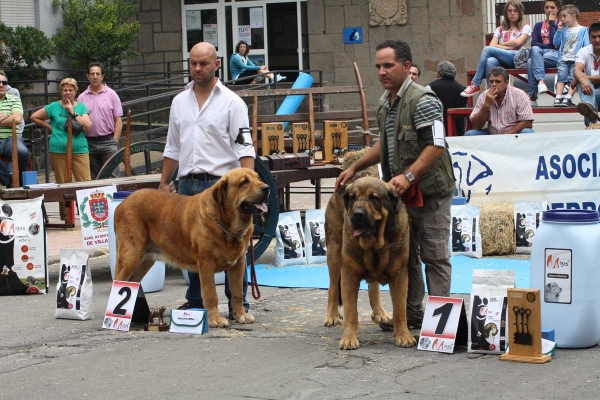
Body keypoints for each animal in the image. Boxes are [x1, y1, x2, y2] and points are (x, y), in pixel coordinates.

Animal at [113, 169, 268, 328]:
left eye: (258, 178)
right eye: (244, 182)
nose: (267, 188)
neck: (228, 227)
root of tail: (122, 204)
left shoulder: (238, 264)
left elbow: (237, 293)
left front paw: (241, 315)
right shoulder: (206, 264)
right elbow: (211, 294)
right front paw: (215, 319)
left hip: (145, 260)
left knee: (132, 283)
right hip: (131, 255)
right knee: (118, 282)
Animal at [324, 177, 418, 348]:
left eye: (374, 198)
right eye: (353, 197)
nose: (357, 214)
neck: (375, 245)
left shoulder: (399, 275)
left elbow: (400, 309)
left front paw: (404, 336)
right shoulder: (349, 274)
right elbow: (351, 311)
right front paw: (349, 338)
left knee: (373, 287)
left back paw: (380, 313)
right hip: (334, 251)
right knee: (333, 286)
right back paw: (332, 316)